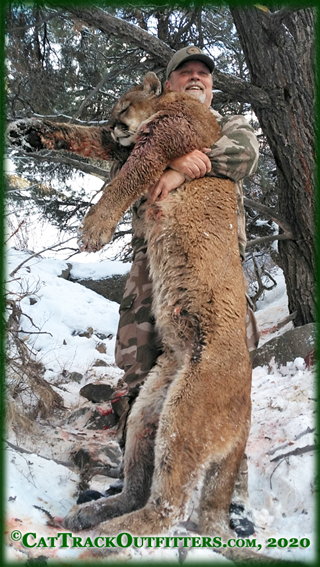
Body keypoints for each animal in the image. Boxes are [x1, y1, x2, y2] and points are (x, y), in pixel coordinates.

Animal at [59, 73, 252, 540]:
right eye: (111, 111)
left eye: (124, 105)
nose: (114, 126)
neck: (170, 102)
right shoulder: (132, 144)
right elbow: (89, 142)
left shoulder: (162, 140)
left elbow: (124, 180)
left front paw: (92, 230)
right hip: (149, 407)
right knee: (140, 485)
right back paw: (94, 514)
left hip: (184, 415)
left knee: (170, 506)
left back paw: (108, 532)